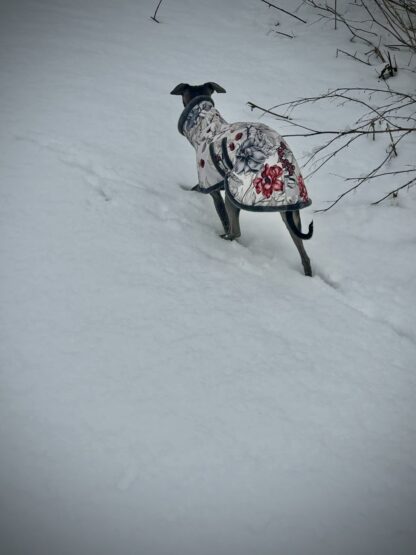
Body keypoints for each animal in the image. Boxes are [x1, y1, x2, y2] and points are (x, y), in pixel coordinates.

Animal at [171, 81, 312, 276]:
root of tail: (284, 170)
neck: (206, 127)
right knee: (304, 254)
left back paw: (222, 240)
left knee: (235, 232)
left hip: (235, 193)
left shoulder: (211, 185)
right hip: (290, 212)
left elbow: (222, 217)